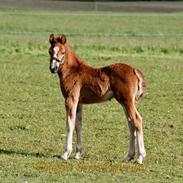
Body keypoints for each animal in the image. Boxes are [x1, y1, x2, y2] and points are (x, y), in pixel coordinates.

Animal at [48, 33, 147, 164]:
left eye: (63, 52)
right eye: (50, 51)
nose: (53, 68)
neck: (72, 71)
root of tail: (133, 70)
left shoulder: (70, 99)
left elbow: (70, 124)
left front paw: (65, 153)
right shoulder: (79, 102)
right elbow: (78, 124)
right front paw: (77, 153)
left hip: (127, 101)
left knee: (137, 120)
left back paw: (140, 156)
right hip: (124, 102)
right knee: (131, 123)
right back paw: (129, 156)